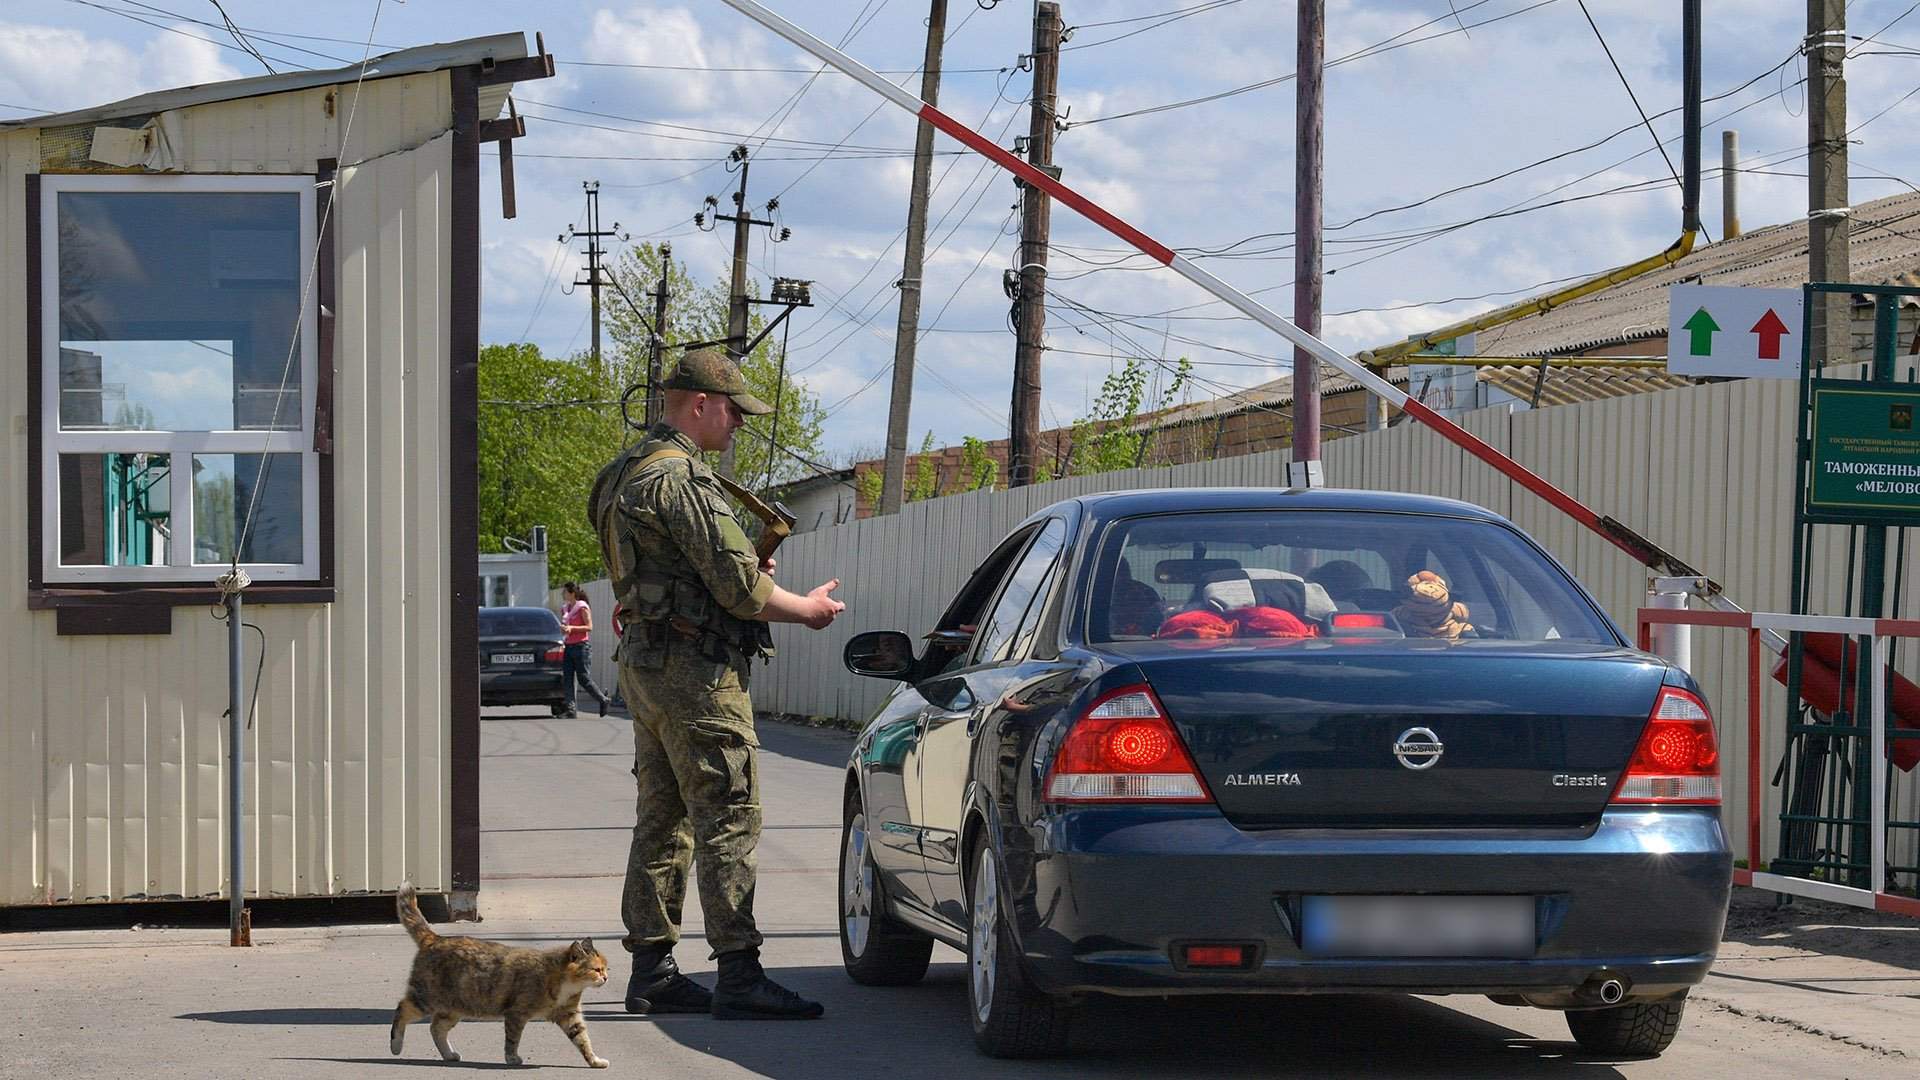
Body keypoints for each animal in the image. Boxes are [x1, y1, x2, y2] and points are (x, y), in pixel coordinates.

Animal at [397, 880, 614, 1060]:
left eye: (605, 968)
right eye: (597, 969)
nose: (606, 978)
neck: (563, 983)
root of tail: (434, 938)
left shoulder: (570, 1016)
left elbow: (583, 1040)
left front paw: (595, 1061)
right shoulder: (516, 1014)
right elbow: (512, 1040)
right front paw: (512, 1058)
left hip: (453, 1008)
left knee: (436, 1028)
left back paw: (449, 1055)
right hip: (426, 999)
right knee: (402, 1009)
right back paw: (395, 1044)